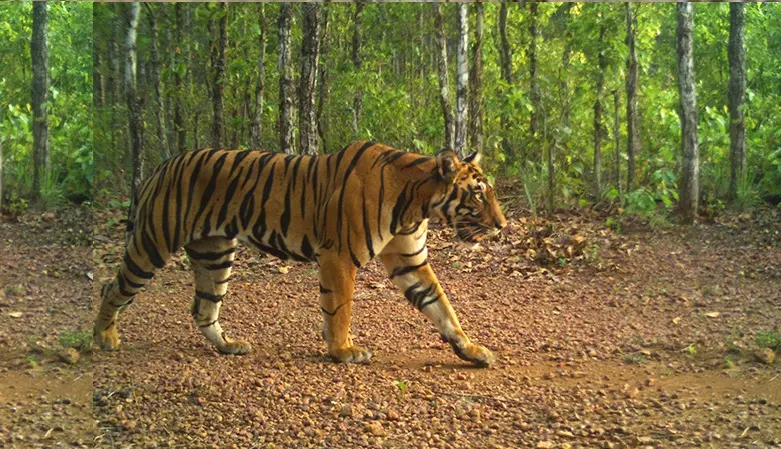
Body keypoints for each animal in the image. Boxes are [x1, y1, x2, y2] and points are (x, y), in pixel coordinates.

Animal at [93, 142, 506, 366]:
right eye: (478, 194)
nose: (503, 225)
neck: (416, 204)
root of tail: (160, 166)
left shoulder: (411, 262)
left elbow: (442, 307)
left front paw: (472, 350)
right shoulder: (339, 256)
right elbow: (340, 309)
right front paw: (343, 351)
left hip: (215, 254)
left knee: (203, 308)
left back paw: (229, 347)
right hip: (153, 242)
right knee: (112, 289)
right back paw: (104, 338)